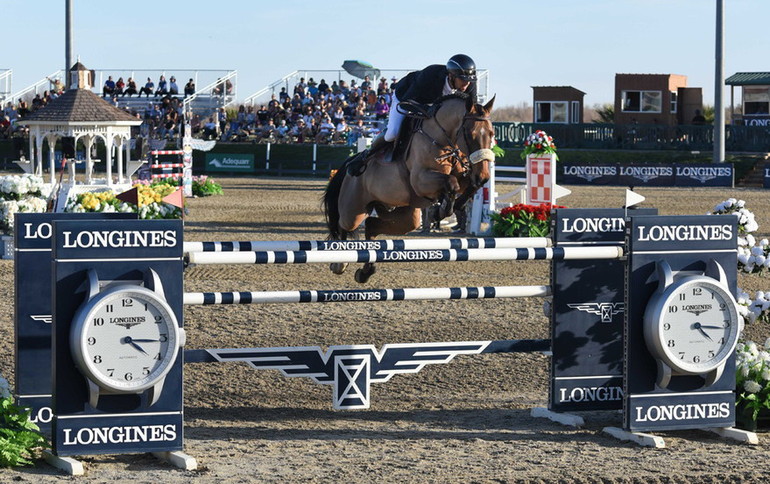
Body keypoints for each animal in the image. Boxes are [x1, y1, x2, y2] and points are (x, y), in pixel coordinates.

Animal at [322, 93, 492, 284]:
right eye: (470, 135)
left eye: (491, 134)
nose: (483, 175)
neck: (441, 139)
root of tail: (349, 163)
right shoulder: (421, 181)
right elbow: (451, 183)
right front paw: (440, 211)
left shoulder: (462, 175)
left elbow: (467, 185)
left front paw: (452, 207)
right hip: (354, 210)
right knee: (344, 225)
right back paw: (339, 263)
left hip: (405, 216)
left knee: (372, 225)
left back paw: (365, 272)